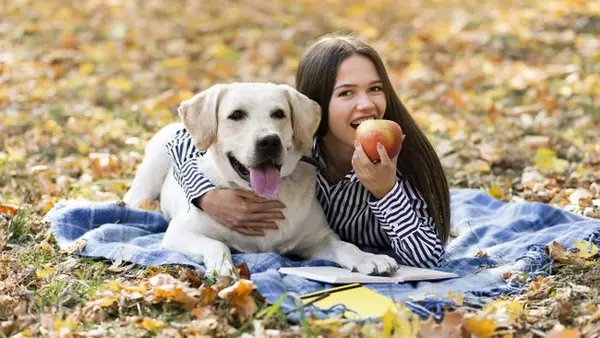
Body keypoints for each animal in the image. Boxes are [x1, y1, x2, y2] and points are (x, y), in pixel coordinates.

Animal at [123, 83, 398, 276]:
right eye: (236, 115)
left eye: (279, 113)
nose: (269, 141)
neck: (261, 196)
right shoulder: (180, 232)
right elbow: (217, 245)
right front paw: (222, 266)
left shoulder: (317, 238)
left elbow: (345, 246)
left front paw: (369, 258)